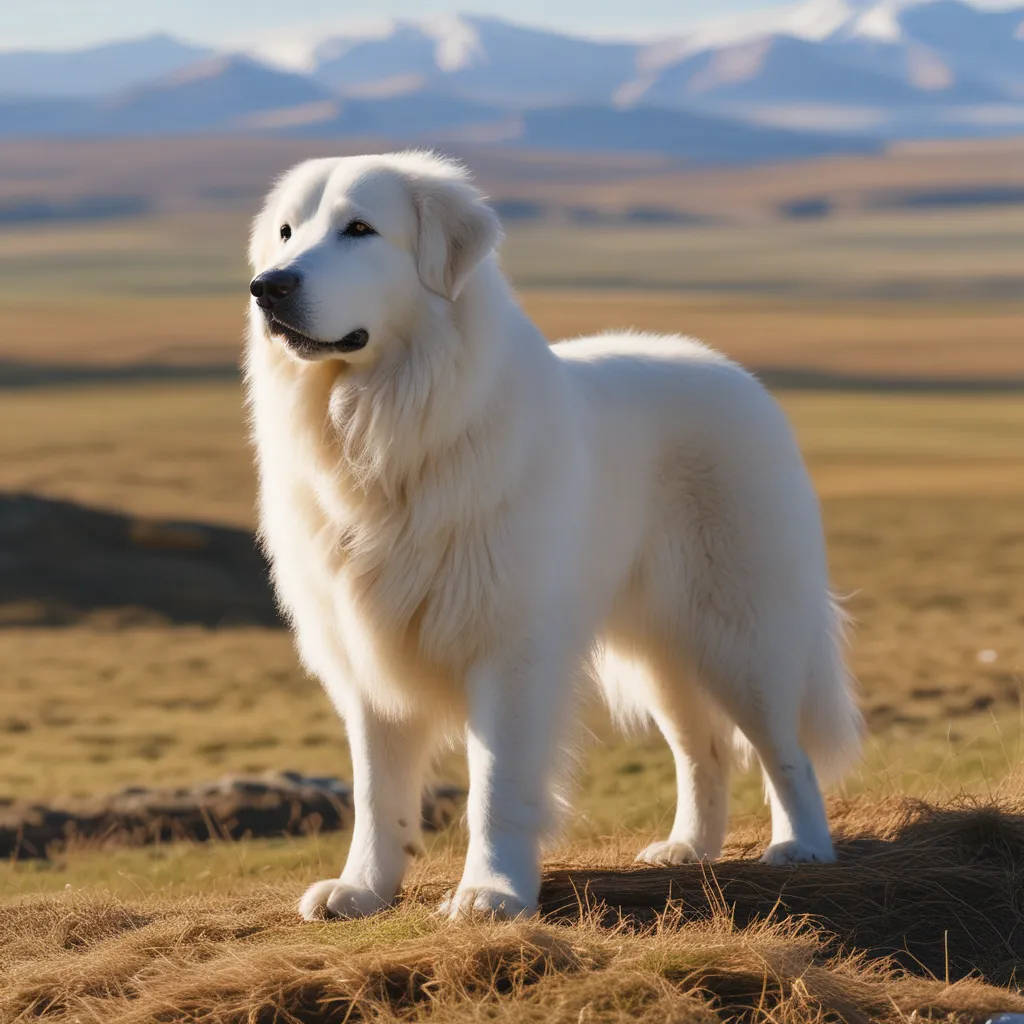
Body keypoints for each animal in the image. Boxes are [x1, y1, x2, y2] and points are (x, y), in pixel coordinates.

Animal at [247, 149, 864, 921]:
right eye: (286, 232)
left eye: (359, 229)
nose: (267, 287)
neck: (385, 428)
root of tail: (734, 375)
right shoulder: (364, 657)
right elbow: (376, 791)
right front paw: (363, 889)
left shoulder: (509, 650)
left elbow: (495, 787)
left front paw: (490, 893)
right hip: (660, 651)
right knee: (704, 751)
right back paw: (688, 848)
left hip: (738, 633)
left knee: (785, 749)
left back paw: (801, 846)